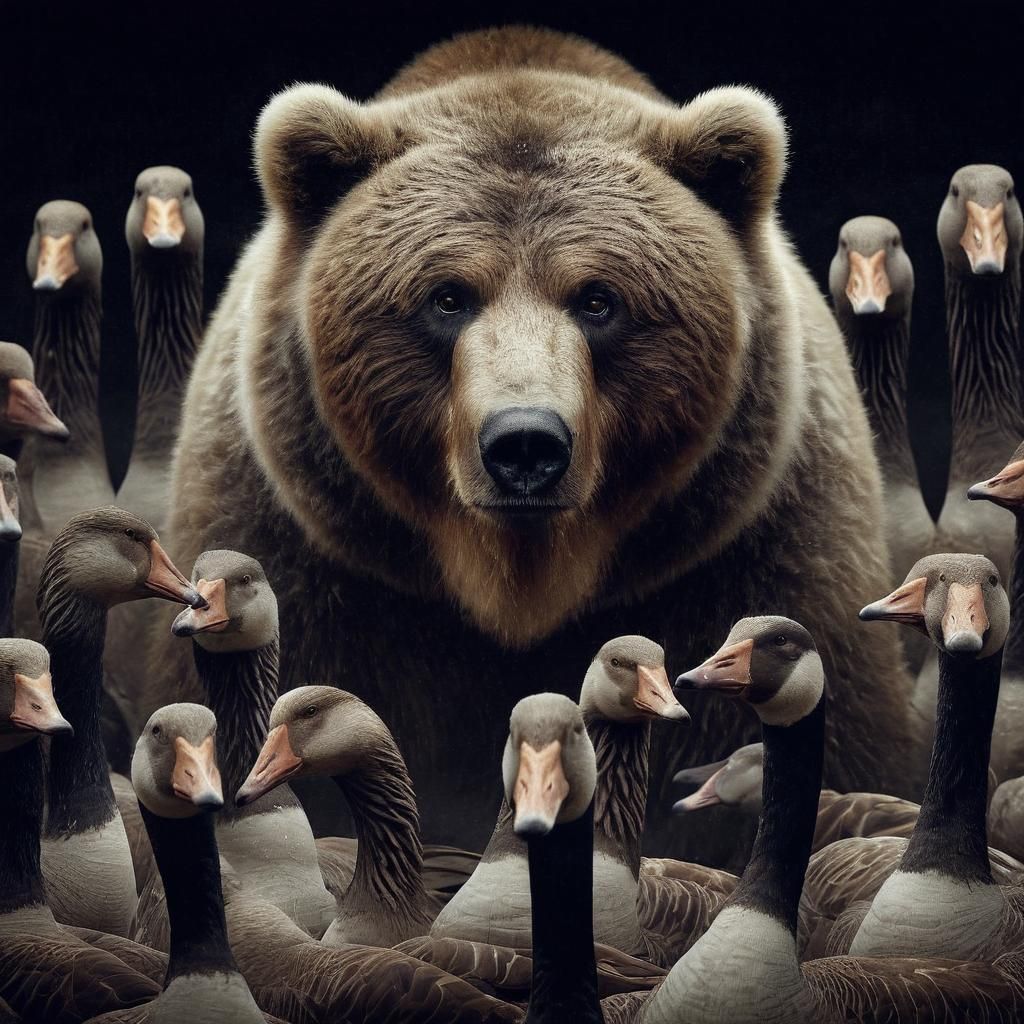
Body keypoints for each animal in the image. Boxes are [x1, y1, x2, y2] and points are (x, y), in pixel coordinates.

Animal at [152, 25, 916, 856]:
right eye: (447, 296)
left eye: (598, 299)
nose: (524, 444)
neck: (518, 586)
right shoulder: (311, 562)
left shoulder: (753, 558)